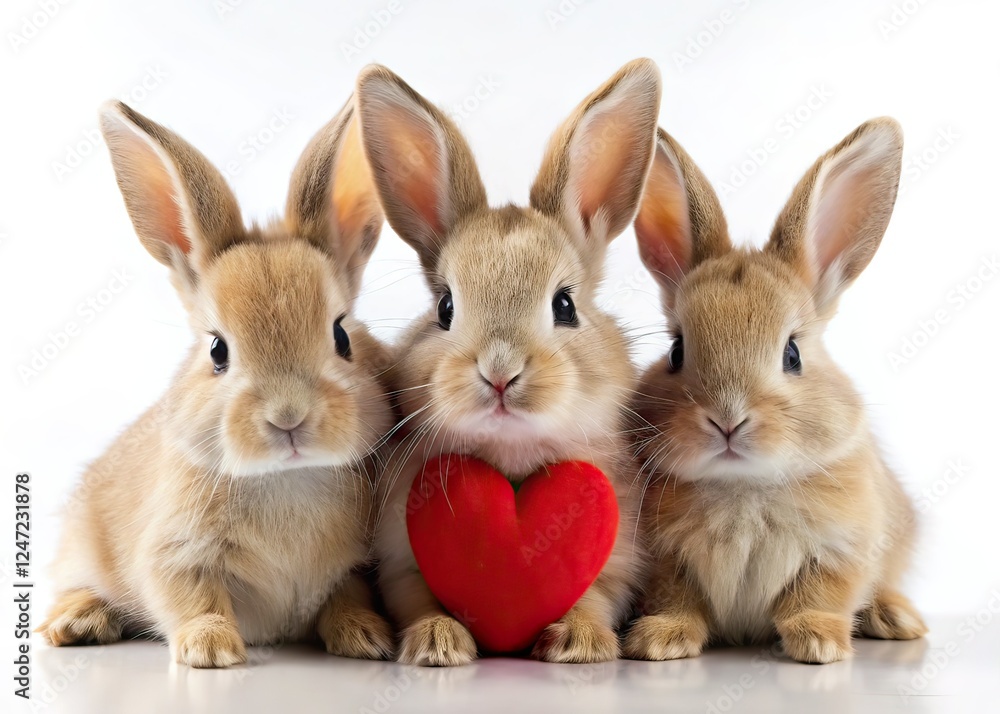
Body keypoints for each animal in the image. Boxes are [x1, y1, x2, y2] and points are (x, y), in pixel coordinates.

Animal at [37, 97, 397, 667]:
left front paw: (366, 637)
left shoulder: (352, 568)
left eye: (342, 336)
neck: (285, 477)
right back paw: (77, 623)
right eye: (217, 351)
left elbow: (348, 597)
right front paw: (211, 649)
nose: (289, 416)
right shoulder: (175, 554)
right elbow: (191, 596)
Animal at [353, 59, 662, 666]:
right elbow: (417, 600)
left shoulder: (616, 560)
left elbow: (593, 598)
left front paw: (580, 644)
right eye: (445, 308)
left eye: (565, 305)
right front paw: (437, 643)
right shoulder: (401, 562)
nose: (500, 373)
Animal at [622, 119, 928, 664]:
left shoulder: (843, 550)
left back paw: (895, 618)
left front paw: (819, 644)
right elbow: (678, 598)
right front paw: (660, 641)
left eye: (792, 354)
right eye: (677, 351)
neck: (743, 487)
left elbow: (820, 594)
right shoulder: (664, 561)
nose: (727, 420)